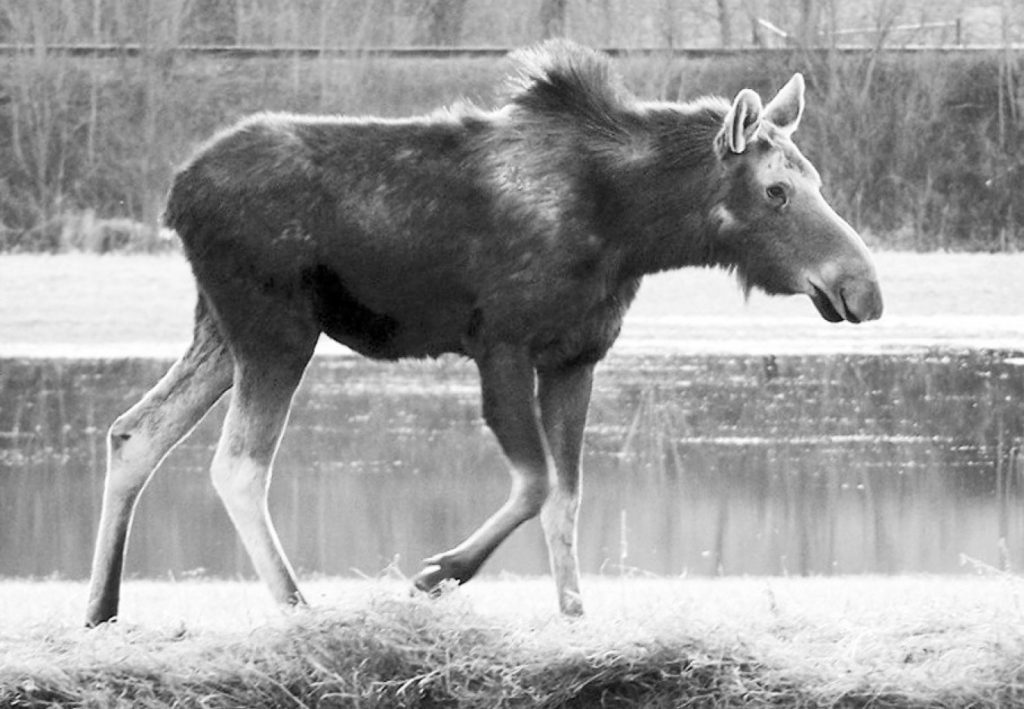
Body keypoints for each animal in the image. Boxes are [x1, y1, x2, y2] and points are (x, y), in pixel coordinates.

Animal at [83, 41, 880, 622]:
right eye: (776, 190)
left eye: (816, 180)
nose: (863, 289)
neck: (633, 231)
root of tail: (176, 192)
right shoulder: (501, 344)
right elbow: (535, 482)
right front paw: (439, 573)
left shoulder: (576, 357)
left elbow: (567, 496)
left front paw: (572, 611)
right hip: (275, 328)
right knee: (238, 465)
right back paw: (296, 605)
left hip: (221, 332)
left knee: (135, 431)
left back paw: (101, 607)